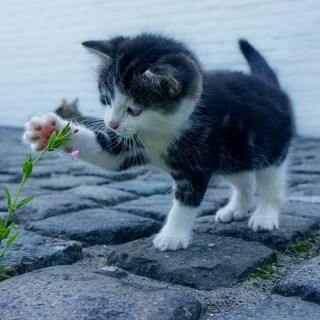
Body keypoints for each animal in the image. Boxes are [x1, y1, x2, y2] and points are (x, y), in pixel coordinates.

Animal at [23, 33, 296, 251]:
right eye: (107, 99)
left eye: (134, 110)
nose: (111, 124)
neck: (160, 130)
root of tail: (271, 86)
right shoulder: (128, 144)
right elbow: (106, 153)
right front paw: (49, 130)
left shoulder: (197, 159)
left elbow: (186, 201)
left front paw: (172, 236)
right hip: (232, 154)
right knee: (244, 180)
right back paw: (235, 209)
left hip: (269, 148)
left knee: (271, 184)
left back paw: (264, 216)